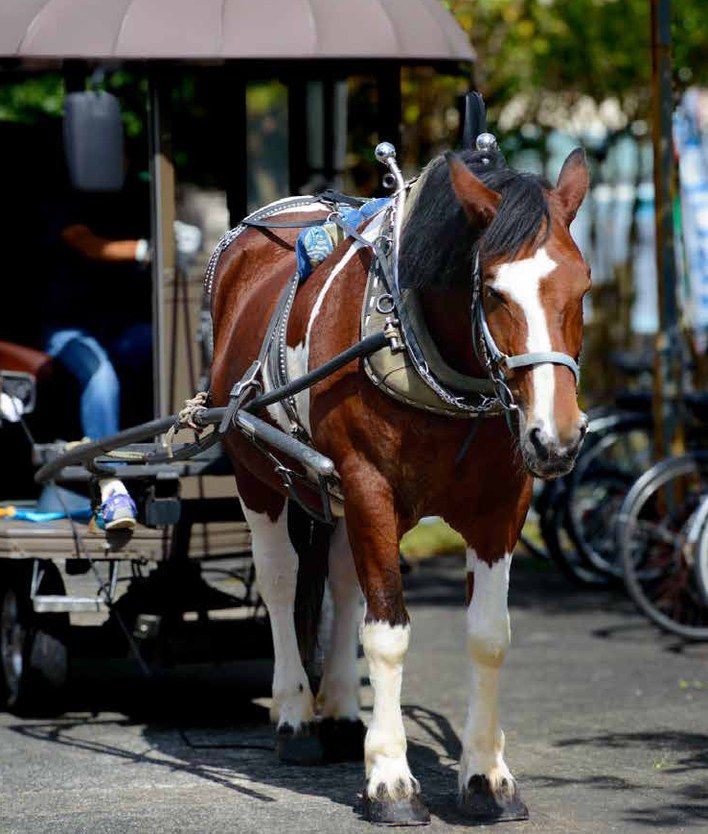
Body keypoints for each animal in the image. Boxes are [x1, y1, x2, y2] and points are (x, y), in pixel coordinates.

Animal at [209, 145, 590, 825]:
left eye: (584, 286)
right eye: (493, 292)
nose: (558, 436)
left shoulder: (502, 505)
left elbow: (488, 635)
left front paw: (486, 777)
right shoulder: (368, 487)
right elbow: (386, 634)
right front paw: (389, 778)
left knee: (341, 582)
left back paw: (337, 710)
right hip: (256, 472)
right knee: (280, 580)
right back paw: (296, 716)